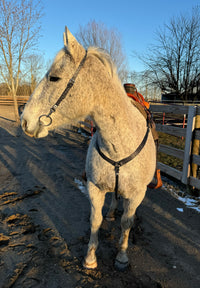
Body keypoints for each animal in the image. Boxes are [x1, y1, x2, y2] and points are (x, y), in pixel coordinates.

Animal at [21, 26, 156, 270]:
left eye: (54, 77)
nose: (25, 121)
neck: (119, 145)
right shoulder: (95, 187)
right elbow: (96, 220)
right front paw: (90, 258)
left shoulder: (137, 194)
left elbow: (127, 222)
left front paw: (122, 256)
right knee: (114, 200)